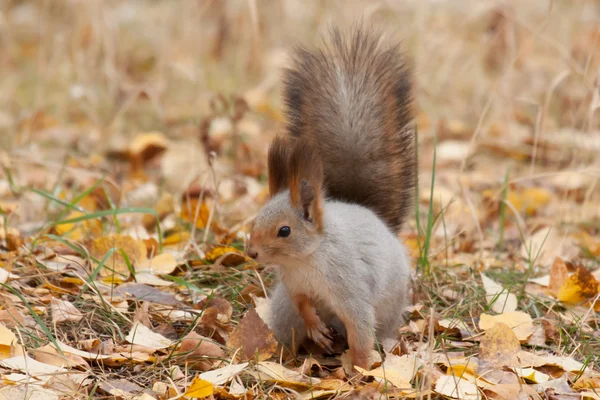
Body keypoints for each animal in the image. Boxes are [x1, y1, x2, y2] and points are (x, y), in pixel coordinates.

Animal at [246, 25, 414, 370]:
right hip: (283, 311)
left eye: (285, 230)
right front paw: (315, 327)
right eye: (254, 221)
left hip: (389, 306)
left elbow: (360, 328)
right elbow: (303, 304)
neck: (307, 259)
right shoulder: (294, 286)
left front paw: (360, 370)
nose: (251, 252)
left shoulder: (349, 285)